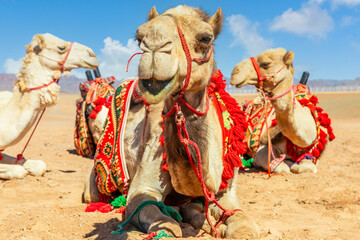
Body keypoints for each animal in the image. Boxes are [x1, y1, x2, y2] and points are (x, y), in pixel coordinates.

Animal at [84, 4, 258, 239]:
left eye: (206, 38)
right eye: (139, 38)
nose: (154, 46)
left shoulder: (226, 190)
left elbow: (244, 224)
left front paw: (218, 225)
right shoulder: (142, 189)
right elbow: (167, 225)